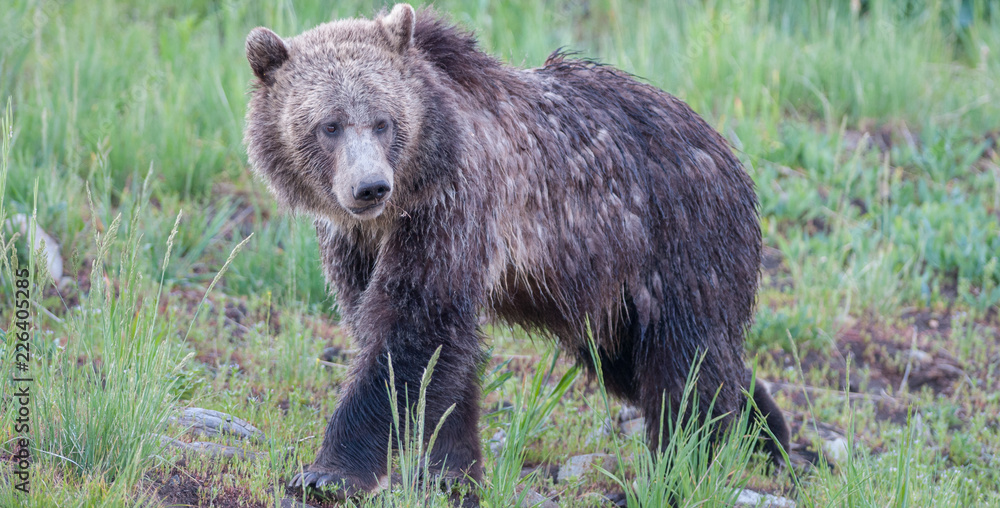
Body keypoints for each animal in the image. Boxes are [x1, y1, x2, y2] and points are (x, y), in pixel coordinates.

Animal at [244, 3, 789, 499]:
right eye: (329, 125)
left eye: (382, 121)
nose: (370, 186)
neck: (407, 193)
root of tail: (726, 151)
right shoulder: (358, 243)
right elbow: (421, 348)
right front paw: (449, 470)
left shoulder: (451, 210)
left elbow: (411, 331)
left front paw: (329, 473)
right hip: (615, 298)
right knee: (642, 362)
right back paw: (765, 430)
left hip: (677, 241)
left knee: (685, 365)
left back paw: (684, 467)